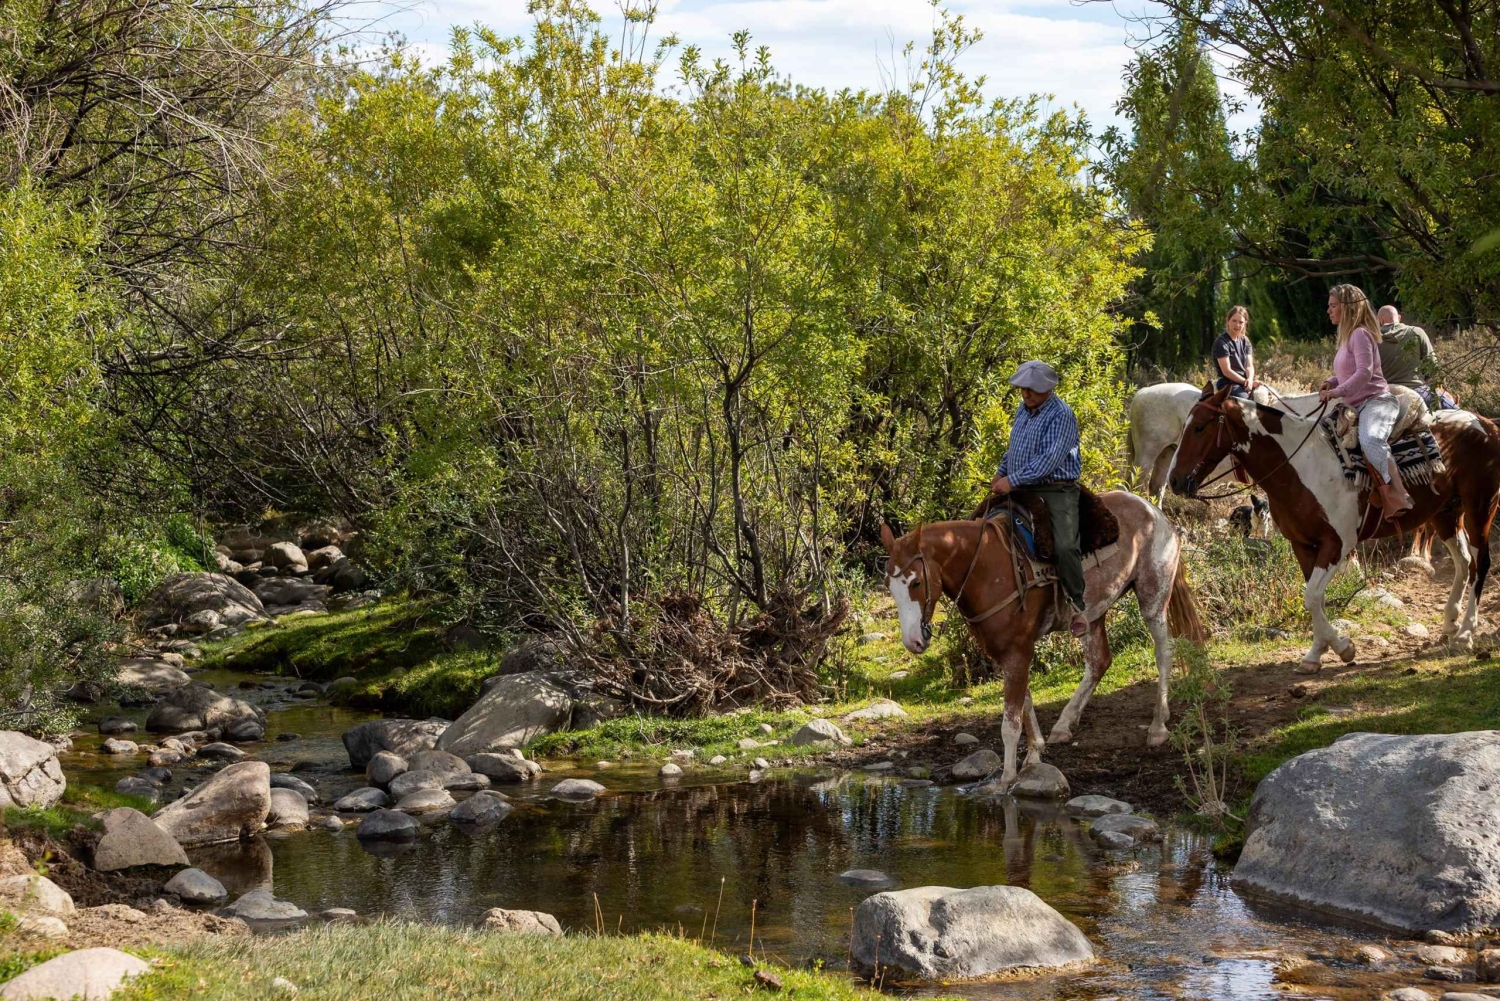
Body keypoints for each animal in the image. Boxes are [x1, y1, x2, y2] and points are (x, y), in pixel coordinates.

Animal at [879, 490, 1209, 790]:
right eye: (889, 585)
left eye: (915, 582)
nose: (913, 641)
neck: (987, 568)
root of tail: (1155, 512)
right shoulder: (1008, 651)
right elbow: (1025, 706)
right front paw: (1034, 755)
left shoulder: (1018, 651)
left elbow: (1011, 722)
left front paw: (1007, 779)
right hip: (1093, 613)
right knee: (1099, 661)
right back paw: (1064, 725)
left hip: (1153, 598)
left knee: (1163, 652)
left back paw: (1158, 726)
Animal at [1169, 385, 1500, 669]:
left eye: (1200, 427)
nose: (1174, 480)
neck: (1301, 467)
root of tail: (1485, 424)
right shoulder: (1303, 545)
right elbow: (1314, 598)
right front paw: (1316, 653)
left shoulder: (1337, 545)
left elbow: (1312, 596)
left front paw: (1342, 647)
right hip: (1446, 513)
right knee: (1463, 561)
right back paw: (1450, 623)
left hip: (1480, 507)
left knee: (1480, 563)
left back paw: (1465, 635)